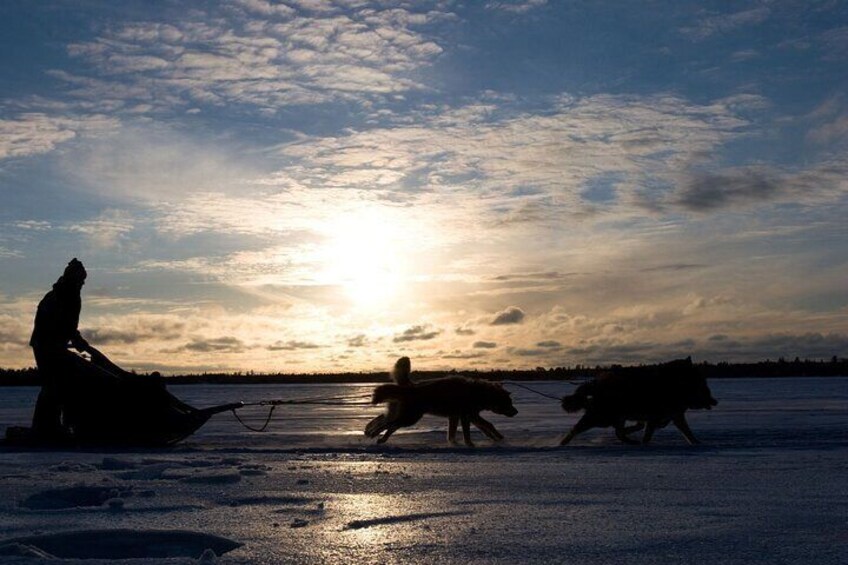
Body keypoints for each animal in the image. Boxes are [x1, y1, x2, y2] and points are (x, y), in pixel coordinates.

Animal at [364, 372, 516, 448]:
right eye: (509, 403)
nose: (516, 412)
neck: (479, 393)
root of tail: (408, 387)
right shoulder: (468, 415)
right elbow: (482, 427)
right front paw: (471, 444)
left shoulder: (461, 416)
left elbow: (483, 427)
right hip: (410, 418)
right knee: (388, 424)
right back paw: (374, 434)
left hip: (407, 417)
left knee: (387, 423)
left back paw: (376, 436)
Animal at [564, 356, 716, 446]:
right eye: (704, 387)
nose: (715, 401)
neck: (673, 384)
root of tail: (596, 383)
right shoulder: (655, 417)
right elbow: (646, 434)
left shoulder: (673, 416)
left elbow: (687, 432)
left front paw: (697, 443)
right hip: (603, 417)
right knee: (575, 429)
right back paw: (561, 444)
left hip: (614, 417)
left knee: (619, 433)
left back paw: (631, 441)